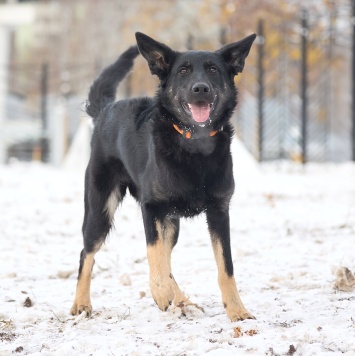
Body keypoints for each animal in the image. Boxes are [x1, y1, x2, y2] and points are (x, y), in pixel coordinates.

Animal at [71, 32, 258, 322]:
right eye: (183, 71)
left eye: (213, 70)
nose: (201, 88)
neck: (194, 145)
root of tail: (106, 110)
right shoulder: (152, 208)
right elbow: (153, 252)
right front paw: (159, 292)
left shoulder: (219, 211)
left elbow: (225, 267)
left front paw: (237, 310)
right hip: (101, 210)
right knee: (86, 252)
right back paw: (82, 303)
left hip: (171, 223)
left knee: (167, 257)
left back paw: (182, 300)